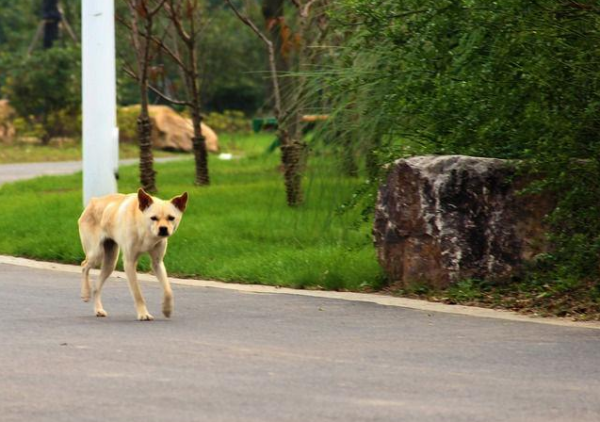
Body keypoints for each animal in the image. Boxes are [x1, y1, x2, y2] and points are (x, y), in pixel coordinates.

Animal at [78, 188, 188, 320]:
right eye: (153, 218)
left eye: (171, 218)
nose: (163, 229)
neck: (145, 231)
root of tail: (93, 201)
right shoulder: (129, 262)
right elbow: (137, 293)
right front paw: (143, 314)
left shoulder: (157, 263)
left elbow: (168, 289)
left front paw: (167, 309)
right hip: (96, 254)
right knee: (84, 266)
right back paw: (85, 293)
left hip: (110, 262)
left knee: (97, 287)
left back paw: (98, 309)